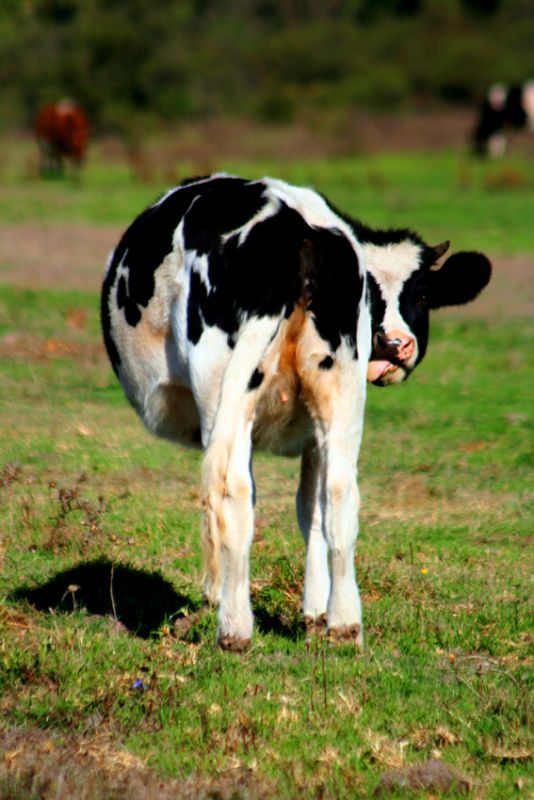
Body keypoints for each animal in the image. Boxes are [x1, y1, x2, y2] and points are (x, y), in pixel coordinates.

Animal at [101, 173, 494, 648]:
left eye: (420, 292)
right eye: (378, 295)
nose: (391, 344)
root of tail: (294, 221)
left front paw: (222, 595)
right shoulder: (314, 429)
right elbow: (314, 508)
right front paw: (315, 610)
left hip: (221, 385)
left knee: (232, 491)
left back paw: (234, 626)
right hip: (339, 388)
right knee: (342, 492)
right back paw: (344, 624)